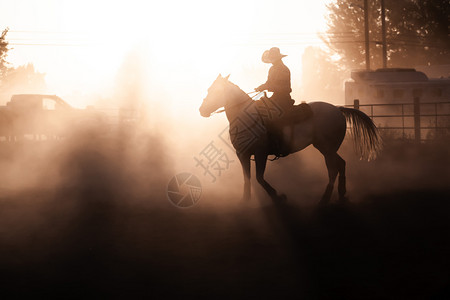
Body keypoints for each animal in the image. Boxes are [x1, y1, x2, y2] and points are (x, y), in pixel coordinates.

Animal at [200, 74, 380, 203]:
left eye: (214, 91)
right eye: (208, 89)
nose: (202, 110)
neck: (246, 117)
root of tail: (338, 109)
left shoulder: (260, 153)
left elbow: (259, 178)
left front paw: (278, 196)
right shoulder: (242, 154)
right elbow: (247, 177)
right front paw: (245, 200)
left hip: (326, 148)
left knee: (332, 169)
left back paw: (326, 197)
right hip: (326, 148)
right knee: (341, 164)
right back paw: (341, 193)